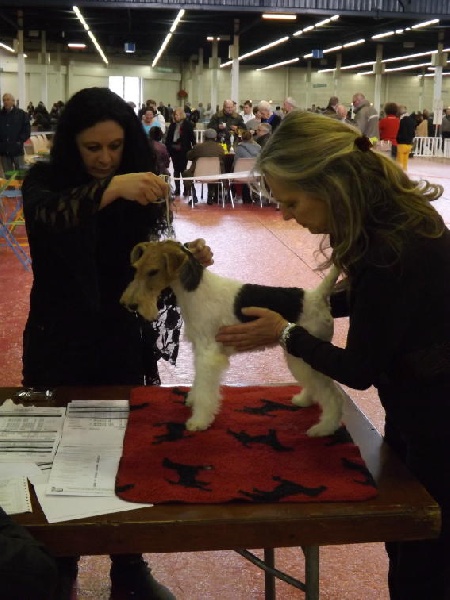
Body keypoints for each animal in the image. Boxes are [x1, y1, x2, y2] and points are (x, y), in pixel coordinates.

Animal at [121, 240, 344, 436]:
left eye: (153, 271)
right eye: (136, 268)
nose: (129, 305)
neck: (194, 290)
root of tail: (317, 296)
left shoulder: (208, 354)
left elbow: (206, 390)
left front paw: (199, 420)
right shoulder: (200, 349)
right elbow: (198, 381)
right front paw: (193, 400)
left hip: (304, 357)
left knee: (333, 395)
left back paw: (324, 428)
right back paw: (304, 400)